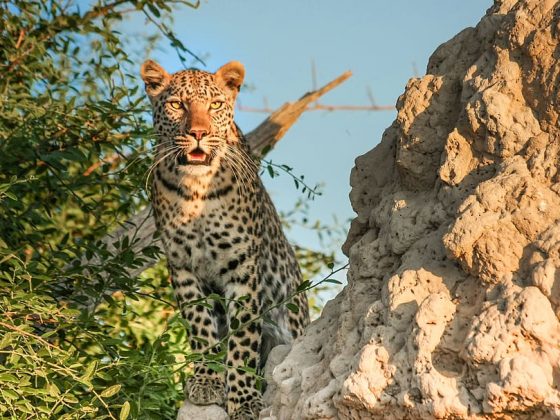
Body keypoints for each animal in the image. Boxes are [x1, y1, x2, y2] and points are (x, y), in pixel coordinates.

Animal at [138, 60, 308, 420]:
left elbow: (243, 337)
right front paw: (206, 382)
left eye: (215, 105)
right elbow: (200, 326)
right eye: (177, 105)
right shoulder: (182, 266)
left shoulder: (242, 266)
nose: (198, 134)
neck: (197, 190)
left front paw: (243, 399)